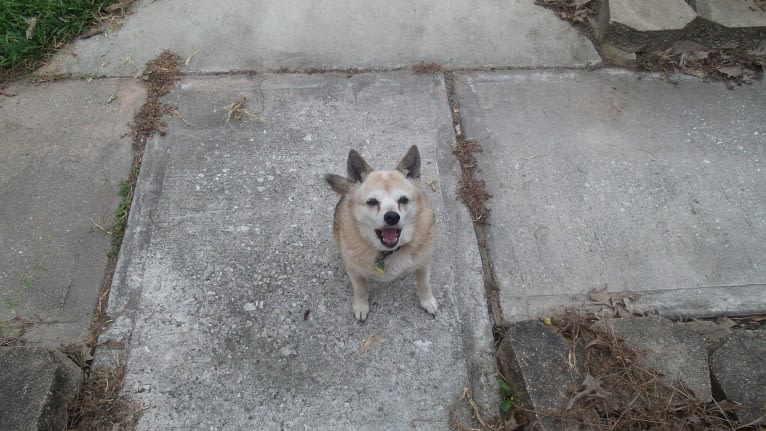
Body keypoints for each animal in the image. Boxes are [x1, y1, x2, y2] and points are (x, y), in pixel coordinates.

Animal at [326, 147, 438, 322]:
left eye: (403, 200)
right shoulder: (354, 272)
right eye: (372, 202)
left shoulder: (424, 263)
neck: (387, 252)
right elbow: (360, 289)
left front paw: (427, 301)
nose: (392, 216)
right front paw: (361, 306)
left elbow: (424, 284)